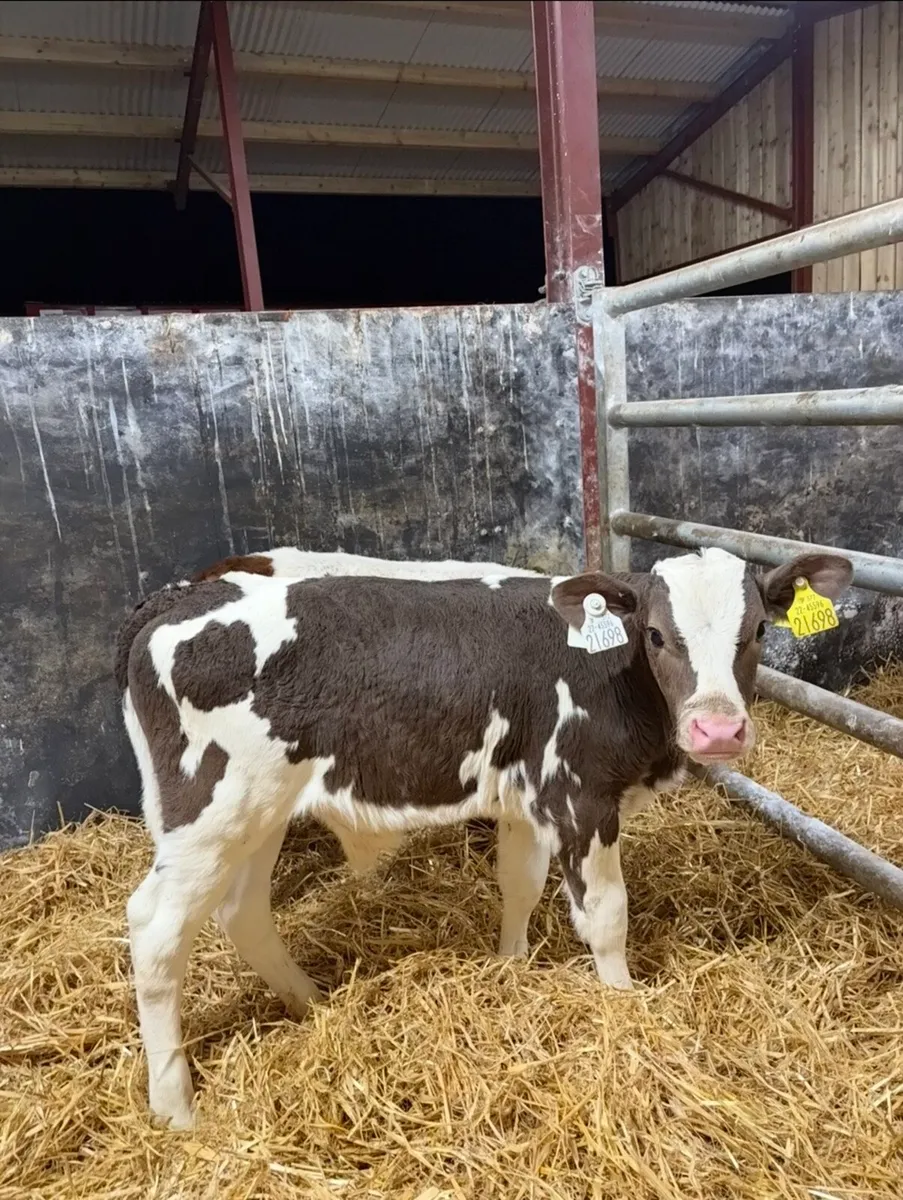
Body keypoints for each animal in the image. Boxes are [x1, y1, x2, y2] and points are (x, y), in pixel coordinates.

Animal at [117, 547, 852, 1127]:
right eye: (654, 634)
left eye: (758, 628)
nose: (717, 730)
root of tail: (182, 593)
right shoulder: (580, 795)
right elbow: (606, 917)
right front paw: (622, 1008)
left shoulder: (525, 797)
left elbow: (518, 886)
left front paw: (510, 968)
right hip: (213, 809)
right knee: (156, 929)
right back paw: (175, 1105)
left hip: (259, 811)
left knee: (242, 910)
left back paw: (312, 1002)